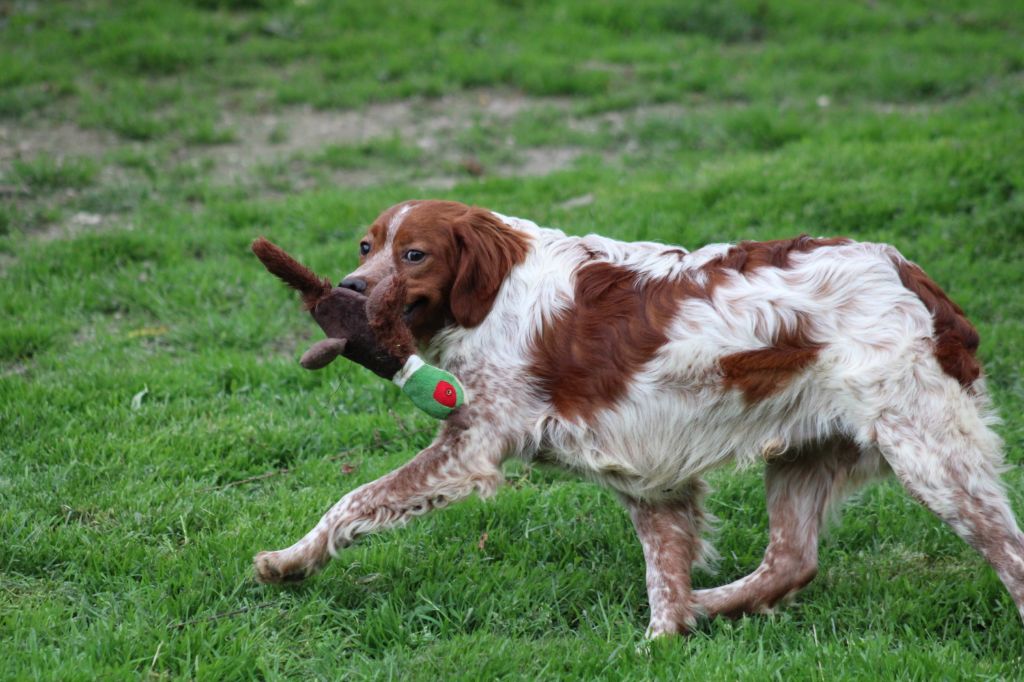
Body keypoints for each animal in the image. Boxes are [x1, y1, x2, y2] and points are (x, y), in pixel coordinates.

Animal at [253, 199, 1024, 634]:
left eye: (413, 254)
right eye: (366, 247)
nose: (349, 289)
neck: (497, 293)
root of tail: (912, 273)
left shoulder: (472, 442)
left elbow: (354, 500)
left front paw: (288, 561)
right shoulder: (651, 472)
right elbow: (667, 579)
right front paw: (669, 634)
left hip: (931, 458)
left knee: (1009, 552)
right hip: (803, 454)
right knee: (791, 561)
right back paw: (717, 605)